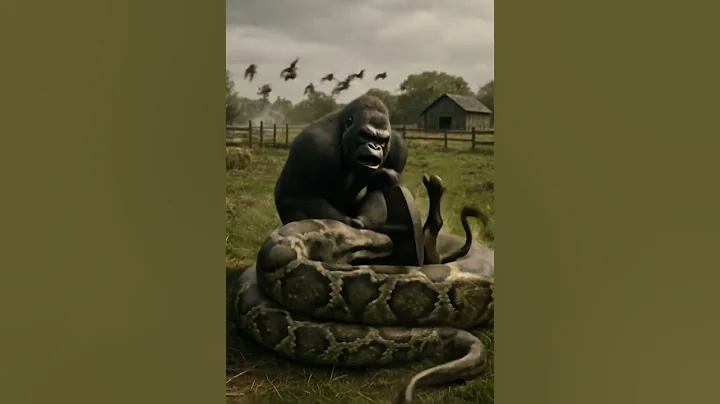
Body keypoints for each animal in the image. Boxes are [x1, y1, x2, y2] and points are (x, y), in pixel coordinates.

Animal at [274, 95, 408, 229]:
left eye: (381, 140)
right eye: (365, 135)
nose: (375, 147)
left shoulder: (398, 147)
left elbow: (382, 188)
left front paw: (385, 177)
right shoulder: (316, 145)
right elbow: (299, 197)